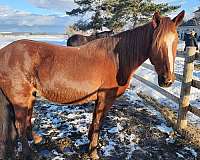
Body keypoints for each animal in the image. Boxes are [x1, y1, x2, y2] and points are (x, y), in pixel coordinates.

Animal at [0, 10, 184, 159]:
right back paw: (28, 153)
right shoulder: (105, 98)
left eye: (176, 41)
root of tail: (4, 52)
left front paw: (89, 142)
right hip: (20, 99)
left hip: (30, 97)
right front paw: (93, 152)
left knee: (27, 118)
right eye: (156, 43)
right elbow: (98, 123)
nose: (167, 80)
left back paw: (35, 139)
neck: (117, 59)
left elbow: (95, 120)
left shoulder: (99, 98)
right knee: (19, 124)